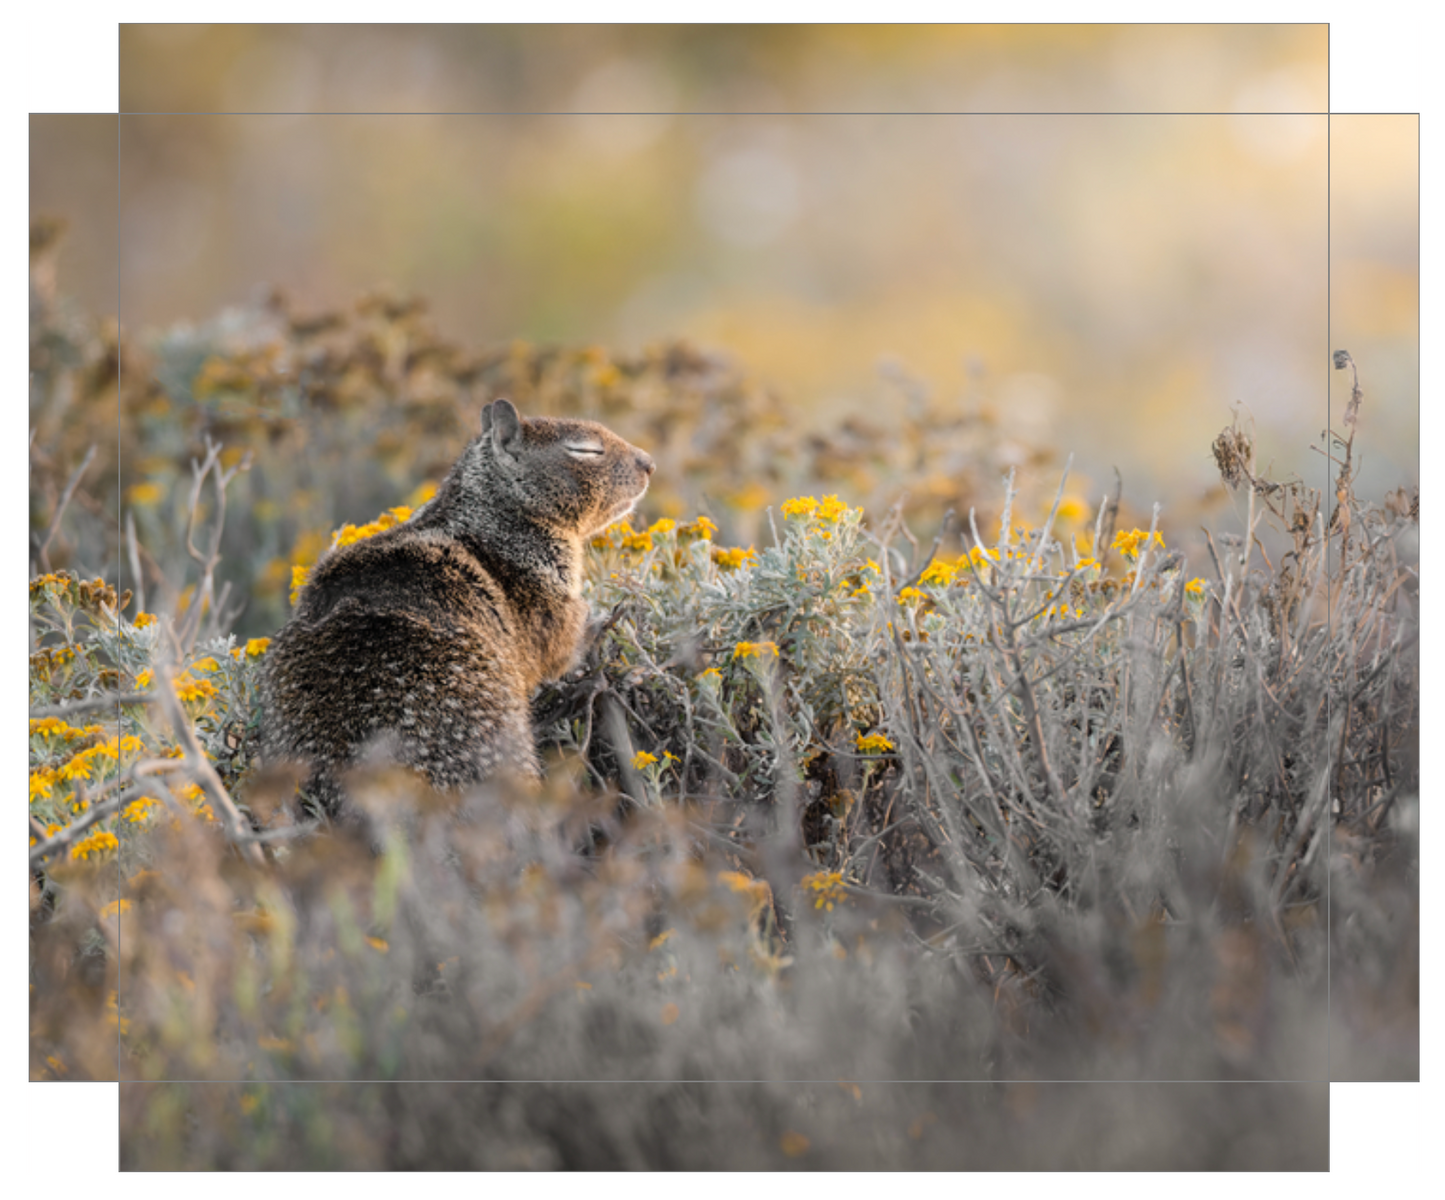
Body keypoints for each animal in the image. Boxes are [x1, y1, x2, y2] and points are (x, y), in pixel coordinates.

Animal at [260, 399, 656, 821]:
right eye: (585, 449)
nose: (649, 463)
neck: (489, 517)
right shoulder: (550, 600)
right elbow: (565, 649)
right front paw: (607, 620)